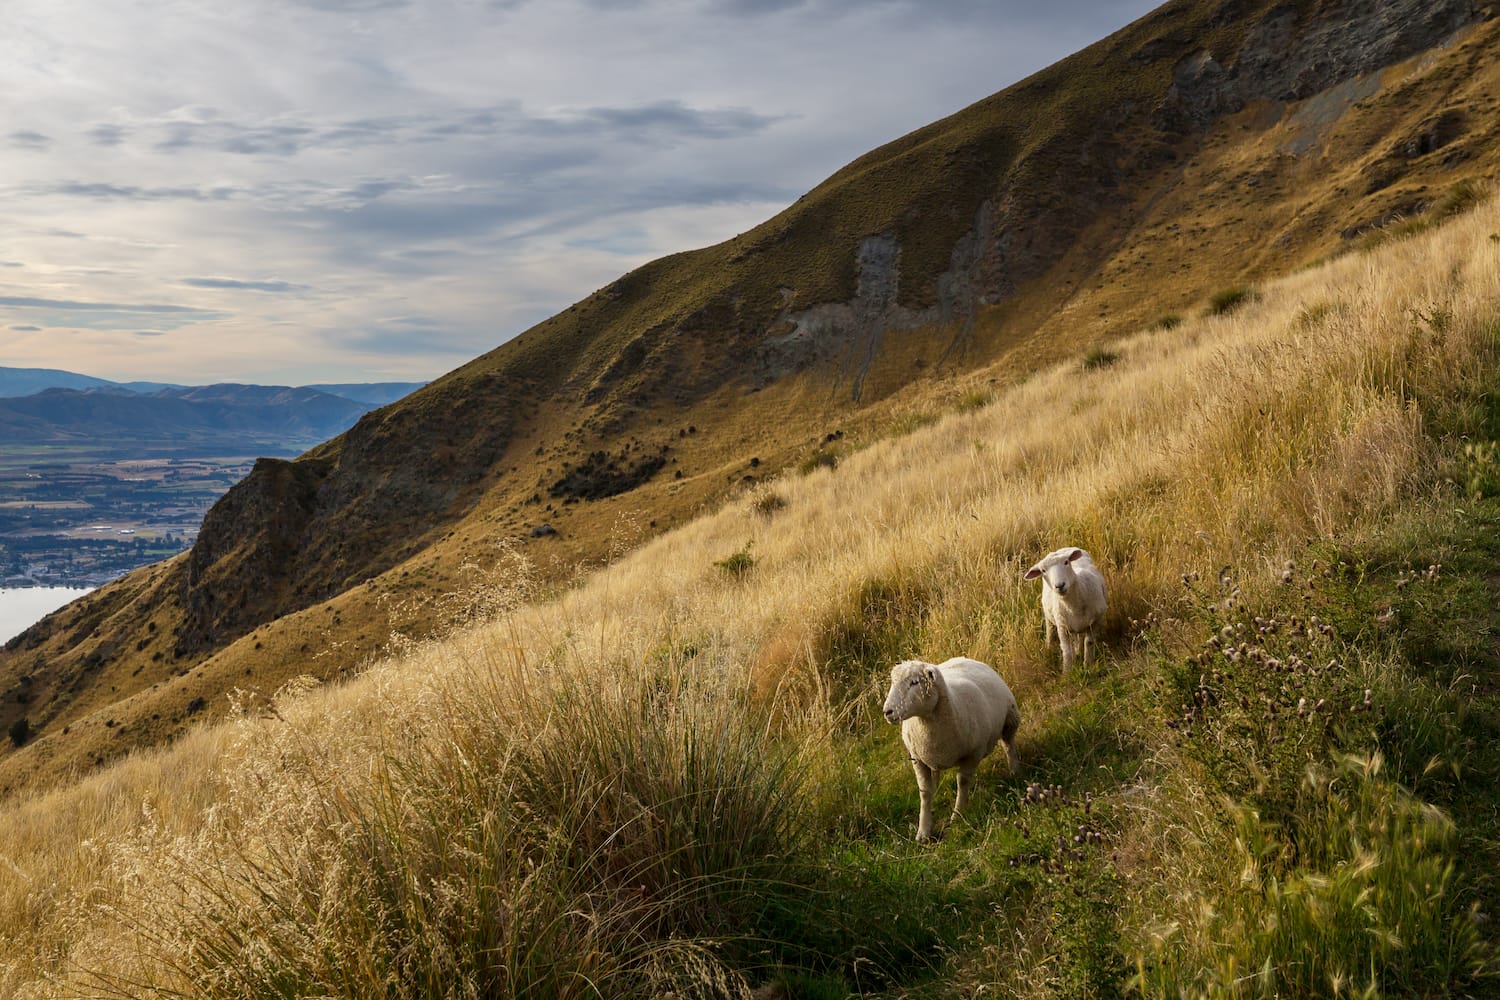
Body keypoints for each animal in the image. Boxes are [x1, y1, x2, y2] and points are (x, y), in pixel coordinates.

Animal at [876, 656, 1020, 845]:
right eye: (893, 682)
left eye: (914, 682)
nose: (887, 711)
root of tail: (965, 658)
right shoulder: (917, 759)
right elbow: (925, 793)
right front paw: (923, 831)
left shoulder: (973, 754)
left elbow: (963, 783)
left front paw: (957, 816)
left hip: (1010, 719)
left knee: (1009, 745)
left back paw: (1014, 772)